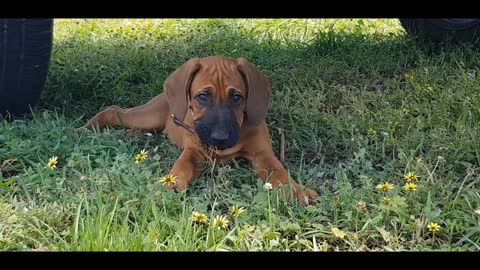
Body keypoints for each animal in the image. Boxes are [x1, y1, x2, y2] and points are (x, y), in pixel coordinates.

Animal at [79, 55, 318, 205]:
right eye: (202, 97)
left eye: (237, 97)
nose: (219, 138)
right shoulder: (194, 153)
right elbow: (181, 167)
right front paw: (171, 184)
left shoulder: (263, 154)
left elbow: (279, 172)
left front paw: (296, 191)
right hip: (148, 116)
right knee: (113, 110)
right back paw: (83, 129)